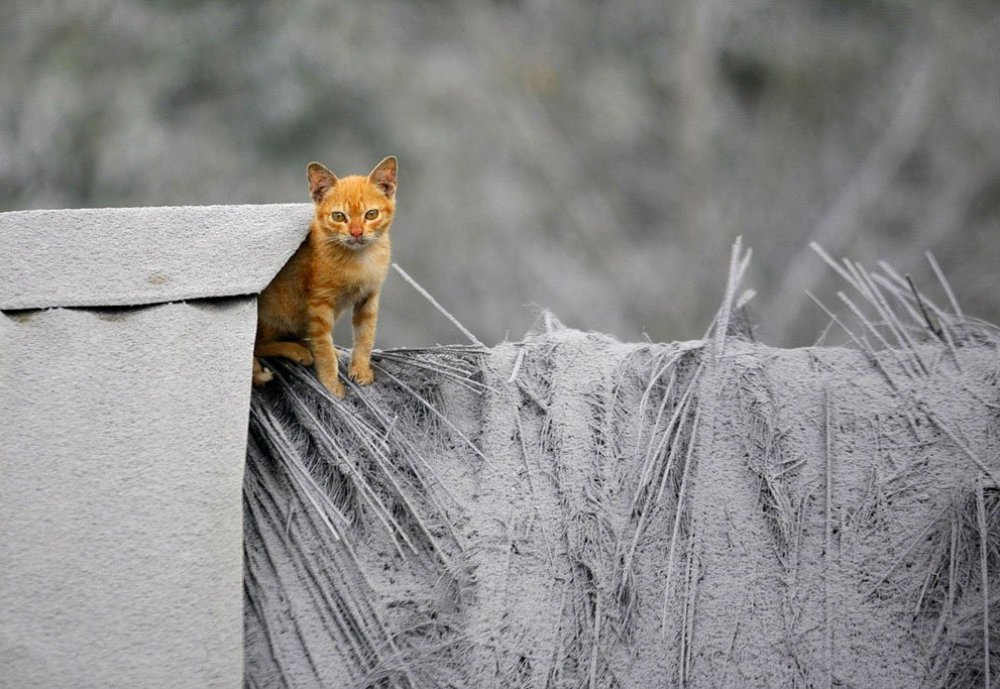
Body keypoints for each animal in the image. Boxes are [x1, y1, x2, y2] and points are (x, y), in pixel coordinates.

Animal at [254, 153, 398, 396]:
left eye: (371, 214)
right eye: (338, 216)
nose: (356, 233)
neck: (358, 260)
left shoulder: (369, 298)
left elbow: (365, 336)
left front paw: (360, 369)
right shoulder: (319, 304)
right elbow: (323, 348)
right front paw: (331, 384)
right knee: (258, 345)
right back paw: (297, 350)